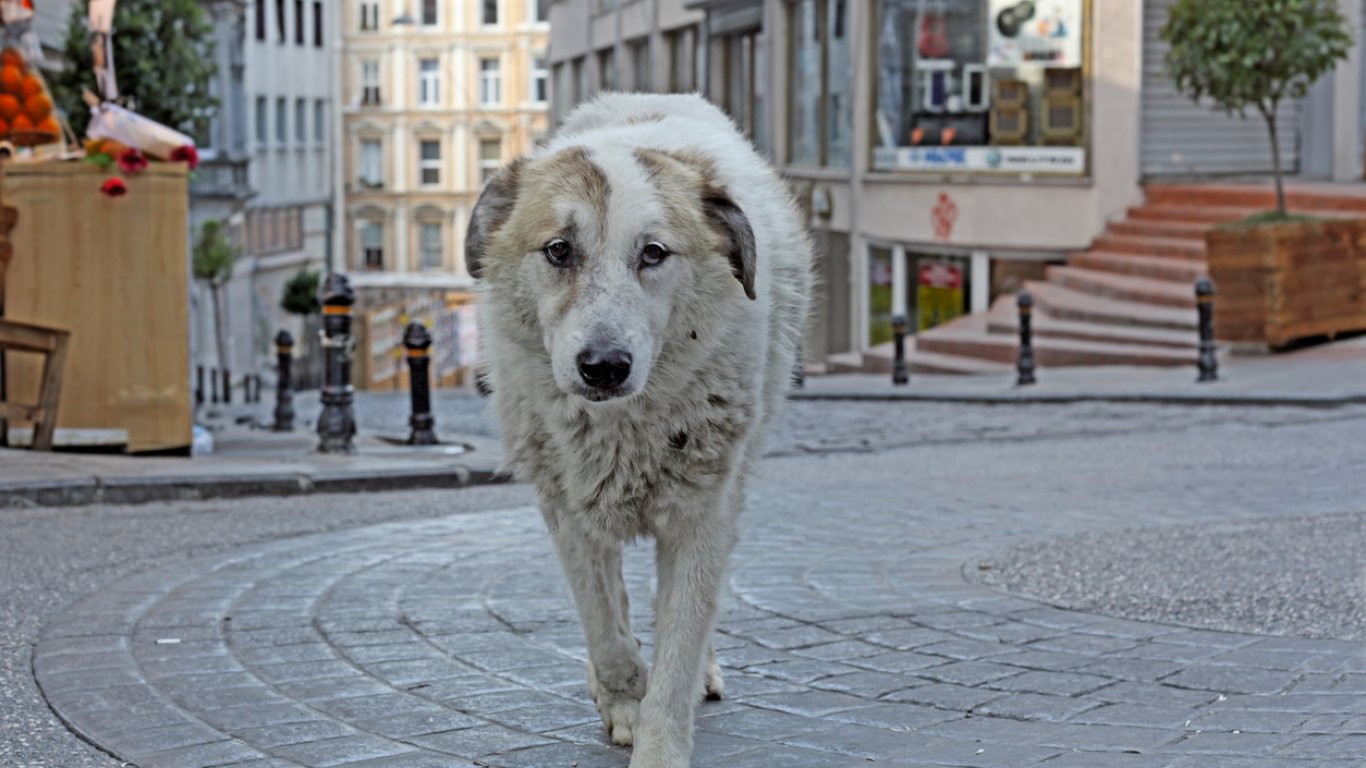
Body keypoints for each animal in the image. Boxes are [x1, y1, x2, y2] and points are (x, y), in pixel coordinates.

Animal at [469, 92, 808, 759]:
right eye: (559, 250)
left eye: (653, 253)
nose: (604, 366)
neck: (622, 428)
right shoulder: (567, 511)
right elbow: (606, 629)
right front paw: (622, 700)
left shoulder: (703, 513)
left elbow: (677, 649)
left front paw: (659, 745)